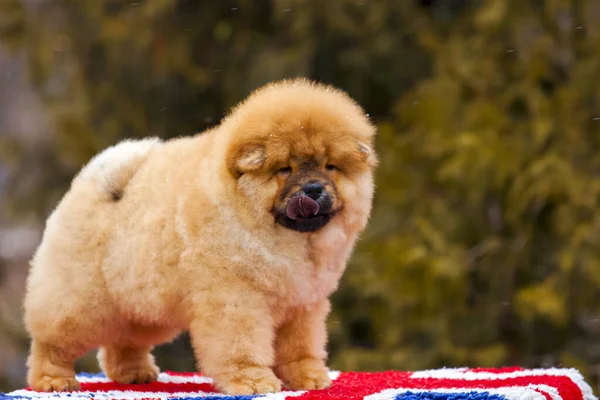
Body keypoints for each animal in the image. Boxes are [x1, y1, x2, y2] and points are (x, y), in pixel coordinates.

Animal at [27, 77, 380, 394]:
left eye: (330, 166)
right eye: (285, 169)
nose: (313, 189)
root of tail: (95, 183)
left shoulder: (303, 302)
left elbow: (300, 346)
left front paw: (308, 378)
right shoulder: (236, 297)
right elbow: (242, 345)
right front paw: (253, 382)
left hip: (142, 308)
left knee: (123, 342)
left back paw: (136, 375)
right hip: (82, 301)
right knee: (53, 340)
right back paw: (54, 380)